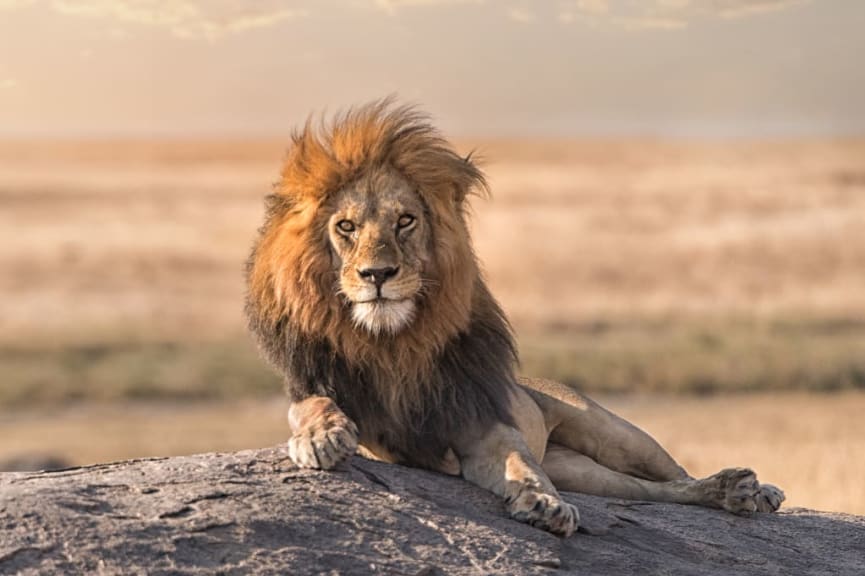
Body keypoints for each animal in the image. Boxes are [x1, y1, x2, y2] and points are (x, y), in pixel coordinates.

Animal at [243, 100, 784, 536]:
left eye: (405, 221)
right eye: (347, 227)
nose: (377, 274)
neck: (393, 342)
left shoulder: (481, 422)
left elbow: (519, 463)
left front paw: (544, 503)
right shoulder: (342, 406)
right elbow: (312, 406)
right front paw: (322, 437)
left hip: (613, 434)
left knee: (673, 477)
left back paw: (746, 490)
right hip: (583, 471)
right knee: (643, 492)